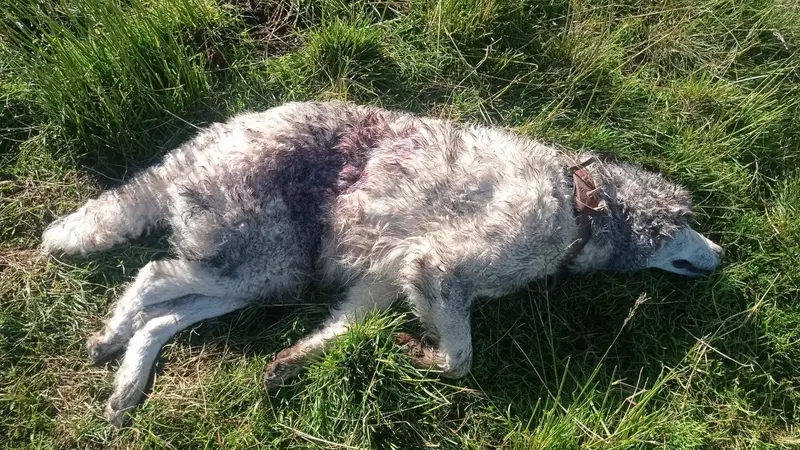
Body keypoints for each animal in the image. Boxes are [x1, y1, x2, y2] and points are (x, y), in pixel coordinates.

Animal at [41, 101, 723, 426]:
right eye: (685, 224)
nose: (720, 256)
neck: (577, 205)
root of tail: (212, 136)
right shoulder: (438, 269)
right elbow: (460, 357)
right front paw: (419, 353)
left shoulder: (384, 278)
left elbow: (337, 332)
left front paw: (290, 364)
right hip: (252, 263)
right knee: (152, 277)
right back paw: (109, 337)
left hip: (263, 277)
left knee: (162, 317)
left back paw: (126, 390)